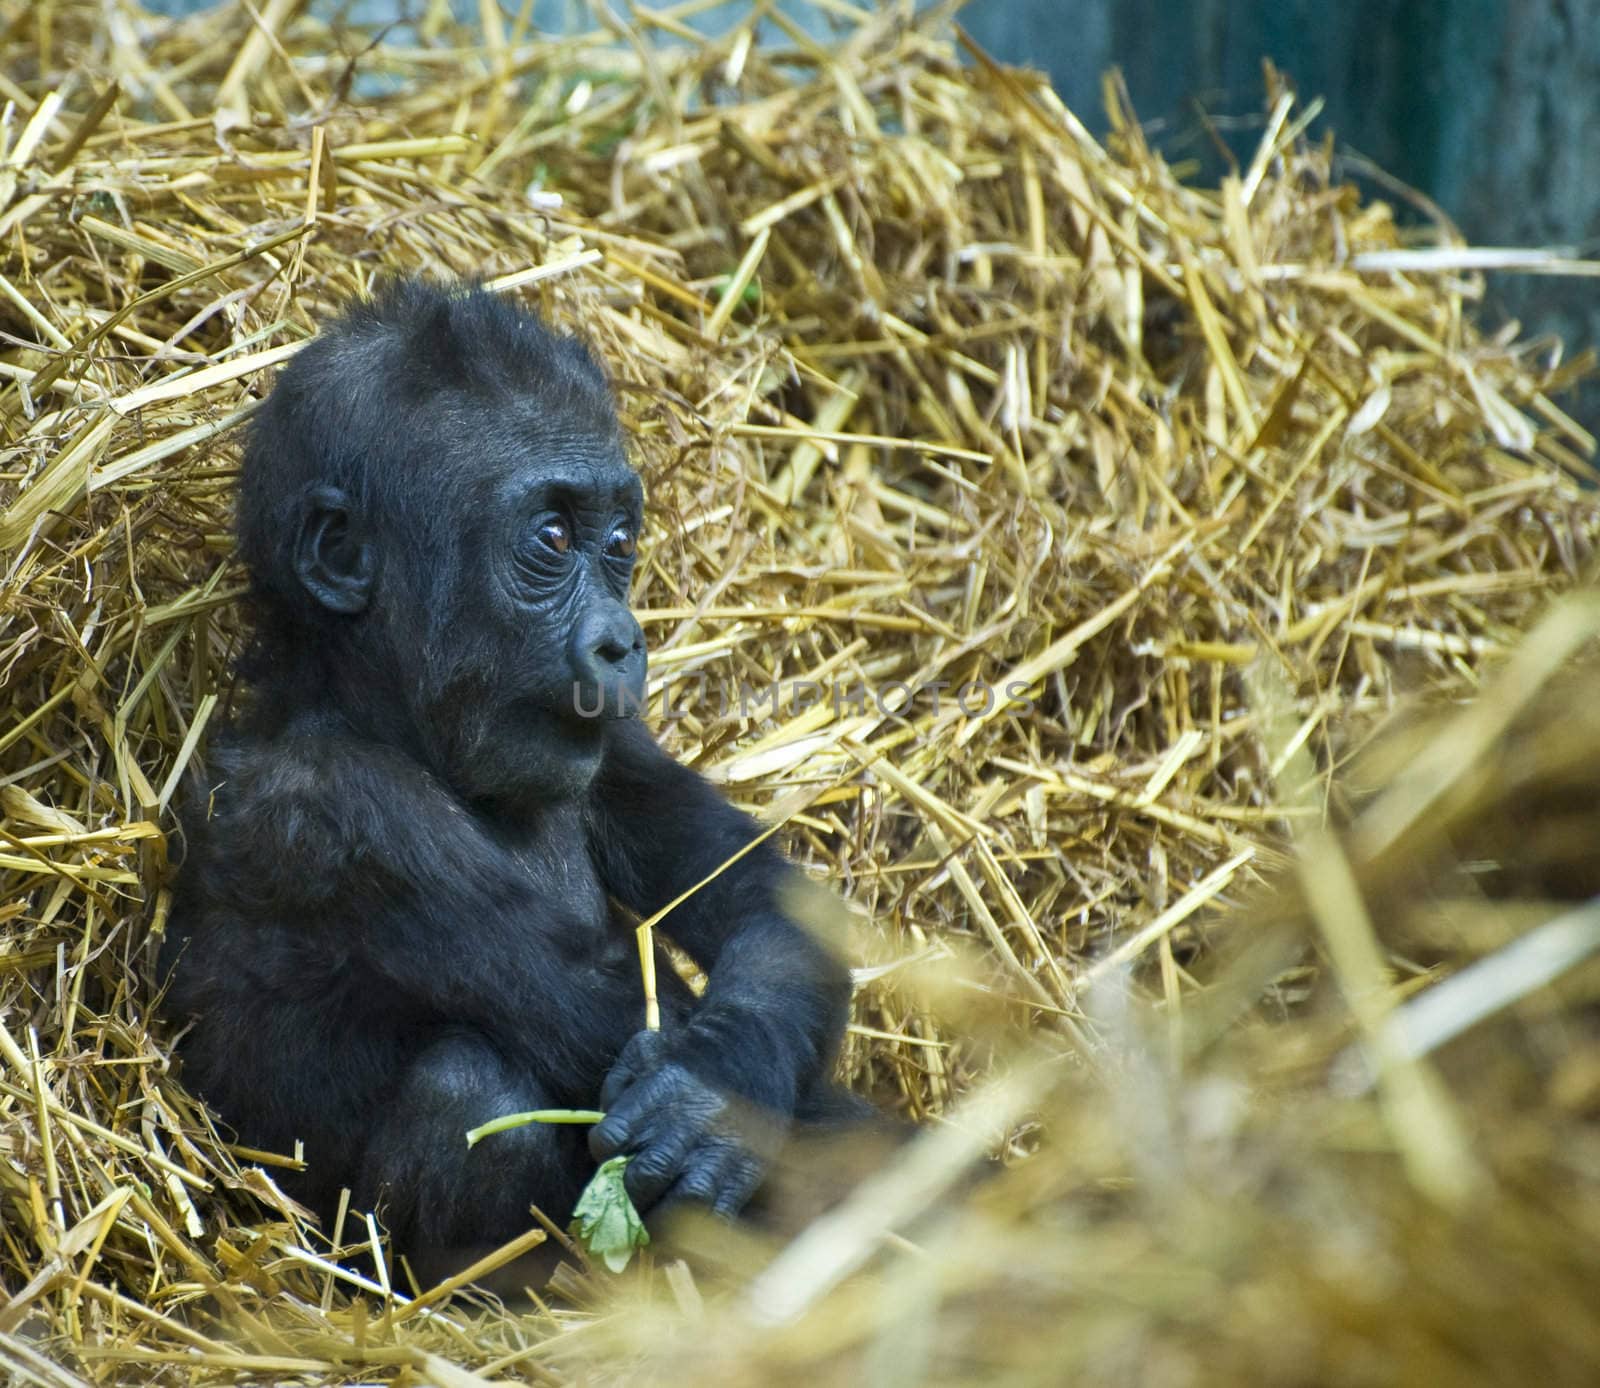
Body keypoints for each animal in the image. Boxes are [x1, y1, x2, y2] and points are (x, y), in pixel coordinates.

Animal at [159, 279, 864, 1279]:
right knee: (475, 1091)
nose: (622, 641)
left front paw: (717, 1087)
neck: (367, 708)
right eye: (554, 537)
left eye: (619, 541)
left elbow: (765, 900)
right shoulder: (336, 817)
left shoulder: (616, 749)